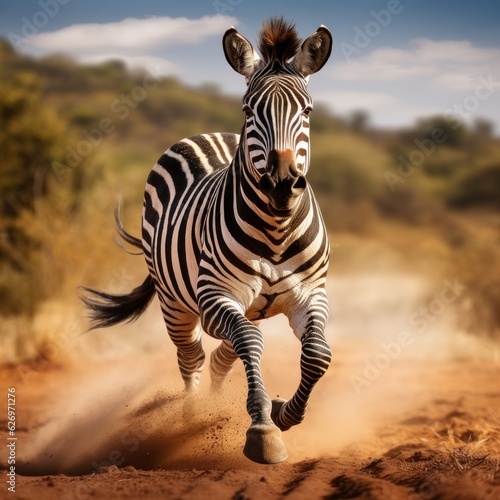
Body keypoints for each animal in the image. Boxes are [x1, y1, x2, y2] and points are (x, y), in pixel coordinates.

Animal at [82, 19, 332, 464]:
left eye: (307, 111)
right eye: (250, 110)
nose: (282, 183)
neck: (277, 230)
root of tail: (208, 133)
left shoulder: (311, 294)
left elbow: (317, 355)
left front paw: (282, 413)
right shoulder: (216, 295)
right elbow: (250, 343)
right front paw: (263, 429)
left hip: (245, 307)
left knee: (223, 356)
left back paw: (214, 410)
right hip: (176, 303)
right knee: (194, 356)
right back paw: (194, 415)